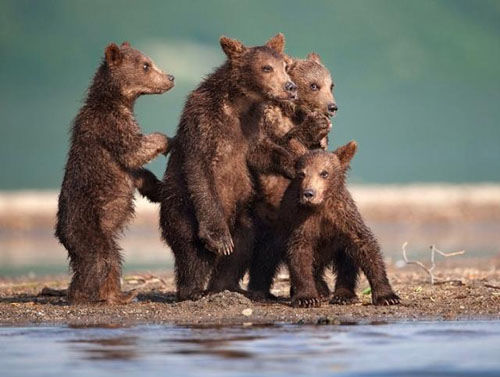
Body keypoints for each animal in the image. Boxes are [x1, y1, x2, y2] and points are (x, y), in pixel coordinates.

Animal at [55, 41, 175, 302]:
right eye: (146, 65)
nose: (170, 77)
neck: (117, 100)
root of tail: (61, 233)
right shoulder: (110, 126)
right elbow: (134, 149)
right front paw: (168, 140)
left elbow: (138, 172)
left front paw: (159, 188)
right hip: (87, 226)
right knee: (98, 261)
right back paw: (85, 295)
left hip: (103, 234)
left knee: (114, 259)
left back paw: (120, 294)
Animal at [159, 35, 296, 300]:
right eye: (266, 68)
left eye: (285, 66)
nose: (290, 87)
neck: (239, 103)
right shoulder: (203, 123)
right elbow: (200, 170)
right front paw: (219, 240)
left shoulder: (251, 127)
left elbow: (261, 153)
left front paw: (295, 164)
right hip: (180, 207)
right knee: (191, 250)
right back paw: (192, 290)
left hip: (243, 212)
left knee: (242, 245)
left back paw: (228, 287)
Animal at [247, 53, 340, 300]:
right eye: (314, 85)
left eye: (331, 85)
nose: (332, 107)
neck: (293, 112)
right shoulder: (266, 124)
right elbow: (268, 150)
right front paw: (315, 126)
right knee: (266, 253)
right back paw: (260, 289)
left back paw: (319, 286)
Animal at [278, 142, 398, 306]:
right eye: (302, 174)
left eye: (324, 173)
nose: (308, 193)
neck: (320, 206)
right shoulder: (302, 221)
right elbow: (299, 252)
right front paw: (306, 298)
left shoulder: (343, 217)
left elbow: (365, 245)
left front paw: (387, 296)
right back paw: (320, 290)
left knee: (347, 261)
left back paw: (344, 295)